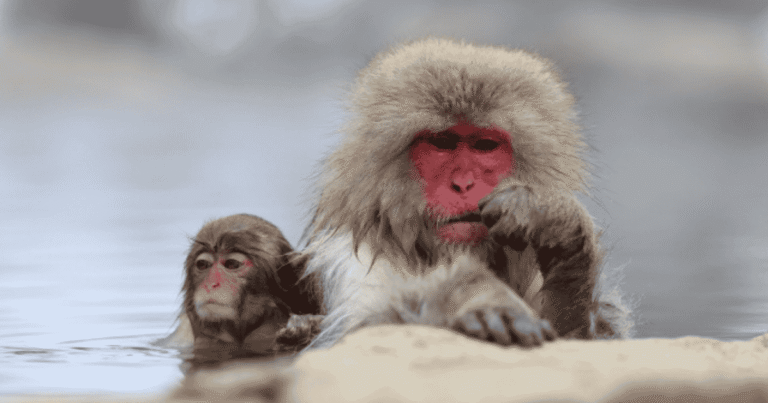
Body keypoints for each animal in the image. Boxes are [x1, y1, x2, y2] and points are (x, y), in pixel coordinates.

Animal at [301, 38, 632, 349]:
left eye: (484, 145)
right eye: (442, 143)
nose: (462, 184)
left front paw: (559, 232)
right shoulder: (357, 258)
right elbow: (367, 331)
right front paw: (475, 297)